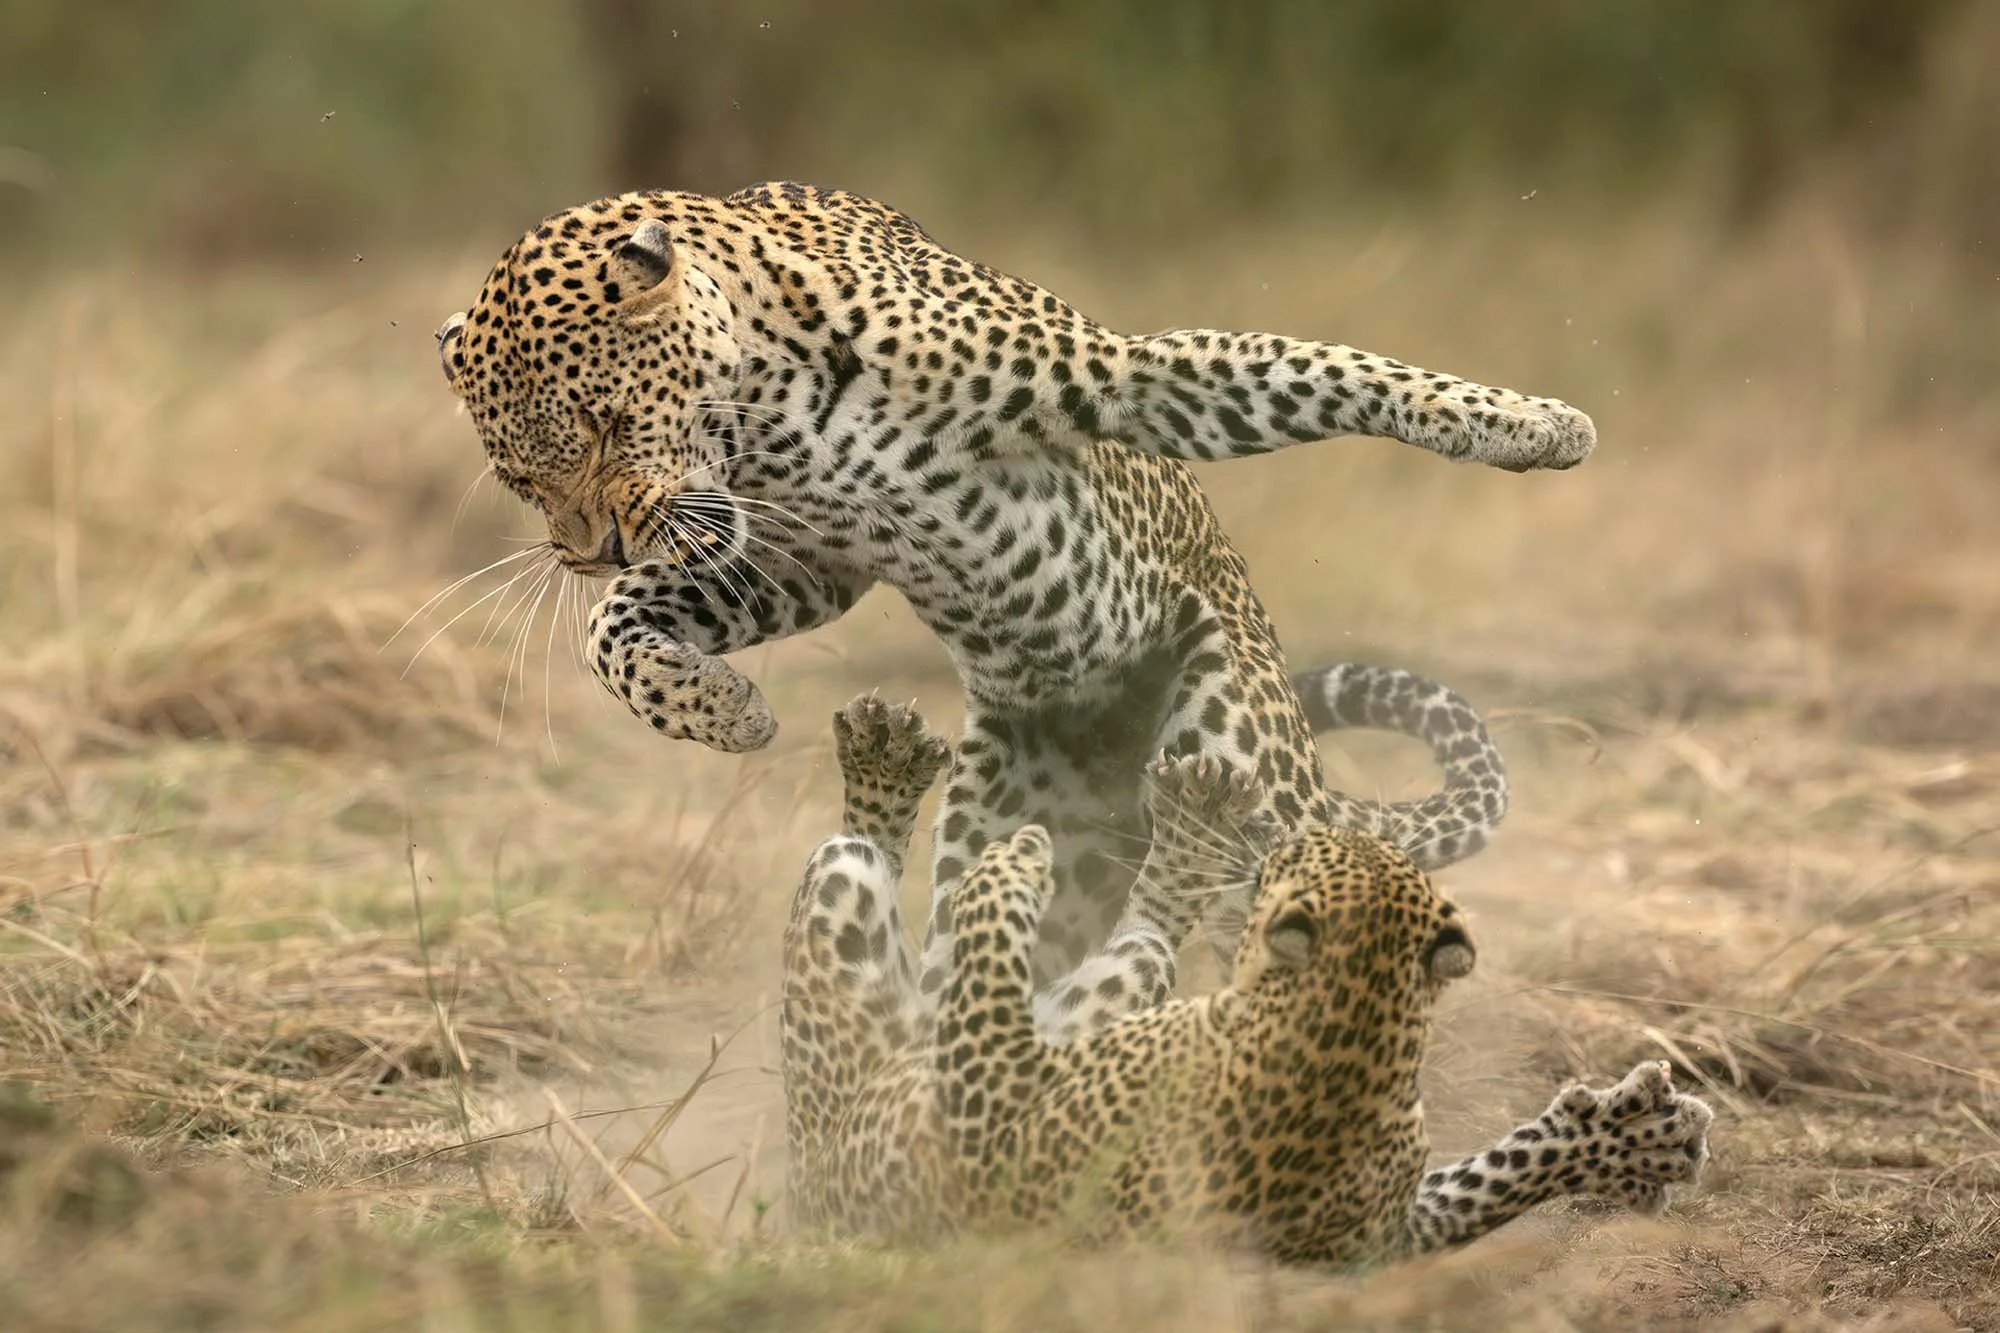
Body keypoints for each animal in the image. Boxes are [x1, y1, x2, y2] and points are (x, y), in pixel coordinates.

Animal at [435, 181, 1591, 1007]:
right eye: (519, 476)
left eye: (602, 424)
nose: (588, 548)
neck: (765, 403)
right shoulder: (814, 558)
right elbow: (611, 632)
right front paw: (721, 710)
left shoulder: (1128, 378)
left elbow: (1324, 368)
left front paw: (1531, 426)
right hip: (1015, 844)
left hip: (1241, 761)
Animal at [781, 696, 1714, 1264]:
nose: (1283, 835)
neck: (1348, 1032)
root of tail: (809, 1196)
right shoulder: (1390, 1222)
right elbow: (1489, 1178)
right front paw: (1637, 1135)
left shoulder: (991, 1106)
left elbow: (995, 929)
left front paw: (1022, 856)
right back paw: (890, 755)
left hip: (852, 935)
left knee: (892, 880)